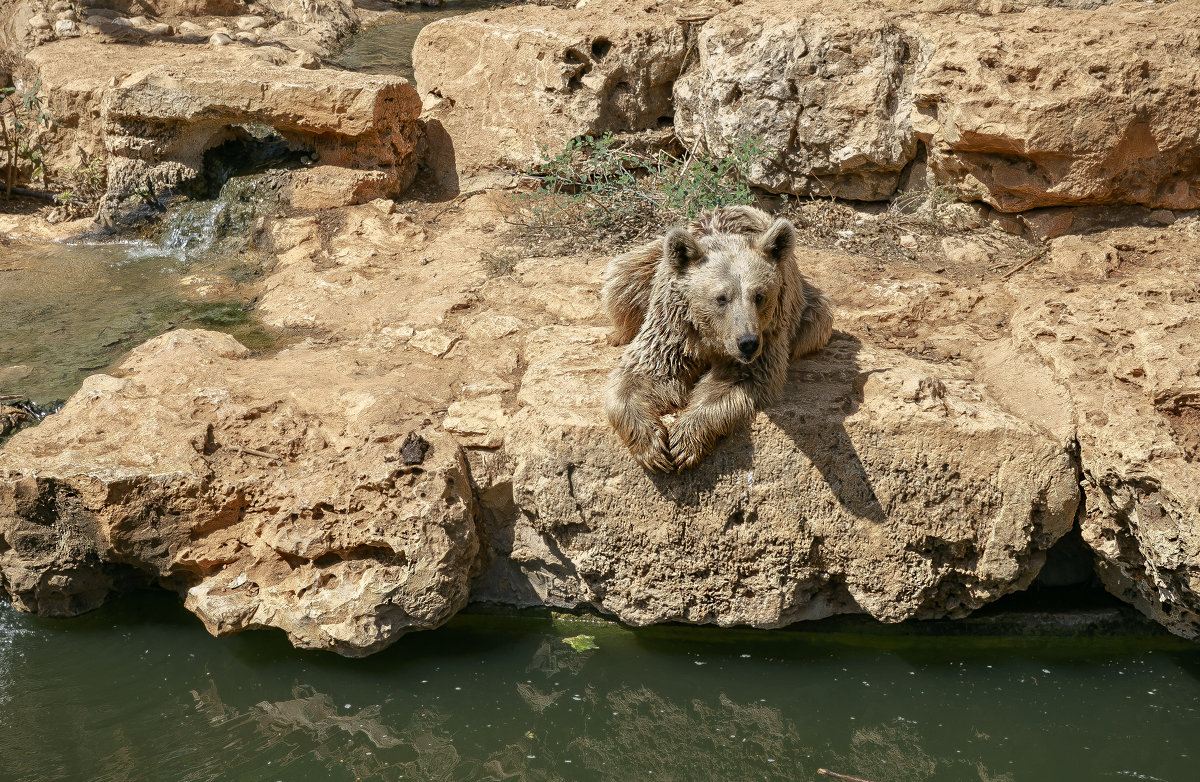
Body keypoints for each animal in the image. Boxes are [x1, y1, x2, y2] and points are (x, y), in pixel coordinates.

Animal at [600, 205, 835, 470]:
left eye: (759, 296)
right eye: (721, 297)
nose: (747, 343)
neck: (710, 336)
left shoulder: (767, 334)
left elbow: (734, 383)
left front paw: (684, 441)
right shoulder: (674, 328)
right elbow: (643, 374)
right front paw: (652, 446)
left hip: (808, 310)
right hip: (649, 263)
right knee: (624, 277)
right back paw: (618, 334)